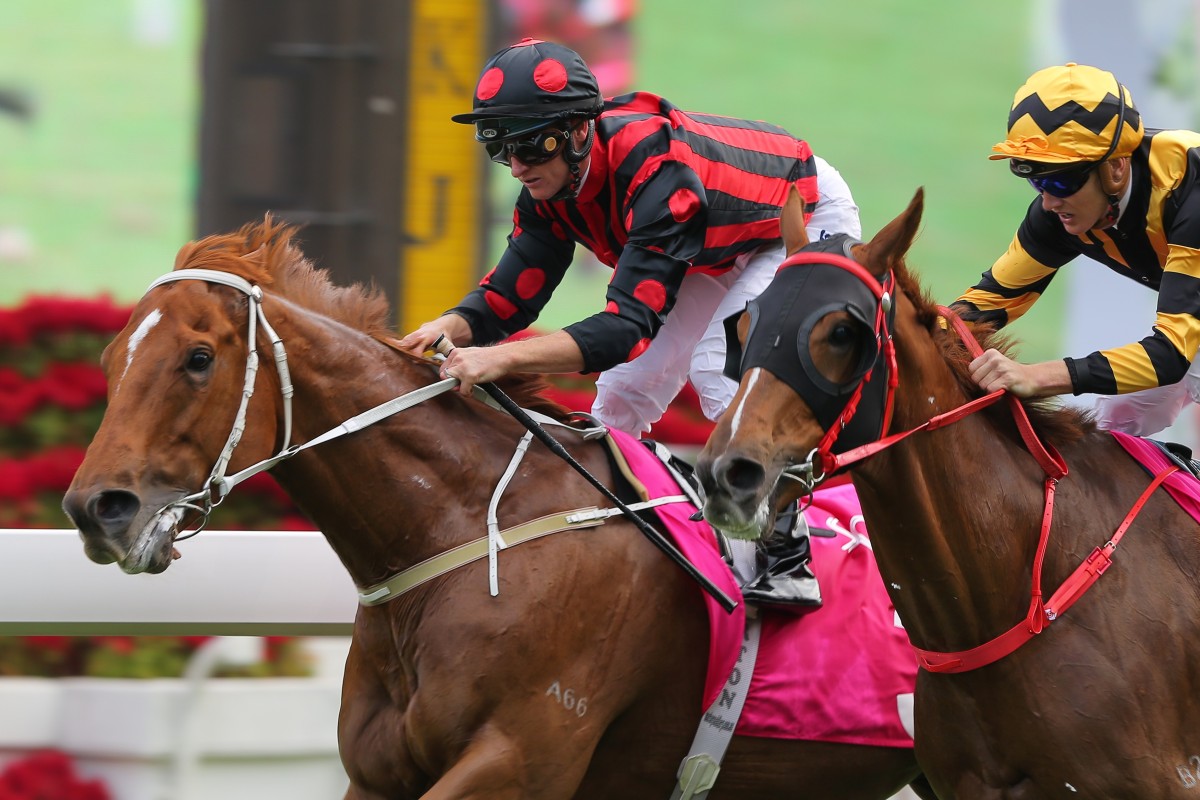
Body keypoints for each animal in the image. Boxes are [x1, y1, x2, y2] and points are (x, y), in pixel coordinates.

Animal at [63, 219, 936, 800]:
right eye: (109, 358)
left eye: (197, 358)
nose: (96, 508)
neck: (462, 530)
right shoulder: (378, 771)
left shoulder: (522, 759)